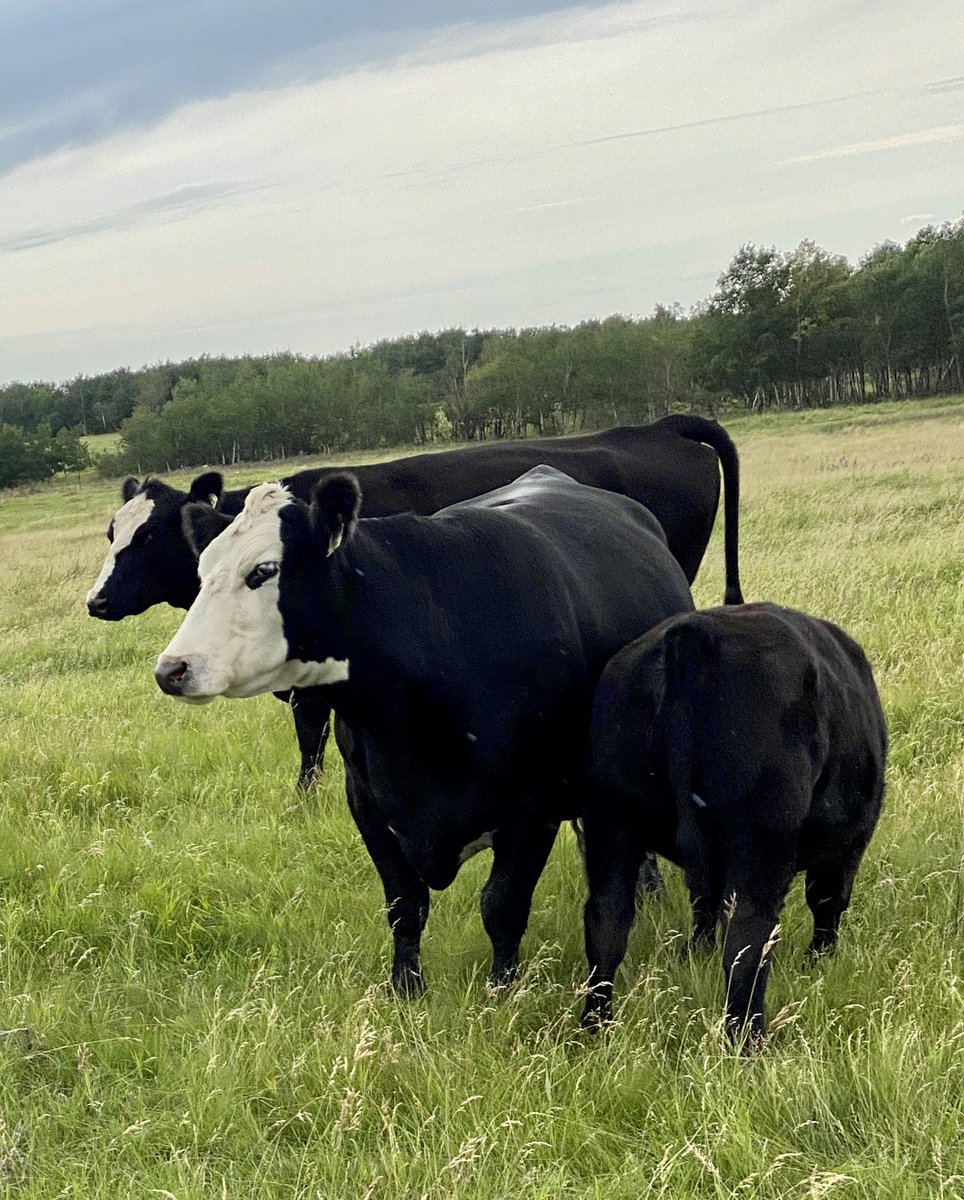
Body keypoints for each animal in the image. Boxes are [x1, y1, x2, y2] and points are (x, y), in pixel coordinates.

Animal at [85, 416, 744, 788]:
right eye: (112, 530)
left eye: (150, 534)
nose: (96, 601)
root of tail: (657, 425)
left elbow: (309, 740)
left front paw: (304, 798)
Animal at [154, 467, 696, 993]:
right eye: (202, 572)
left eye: (263, 571)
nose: (172, 669)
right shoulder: (366, 802)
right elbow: (404, 906)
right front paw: (405, 989)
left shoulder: (532, 807)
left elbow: (502, 906)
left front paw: (503, 990)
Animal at [579, 602, 887, 1042]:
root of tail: (693, 636)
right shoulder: (848, 843)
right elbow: (828, 900)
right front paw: (820, 959)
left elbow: (701, 906)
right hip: (761, 839)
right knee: (748, 936)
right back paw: (750, 1038)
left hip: (612, 820)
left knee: (607, 920)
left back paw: (595, 1026)